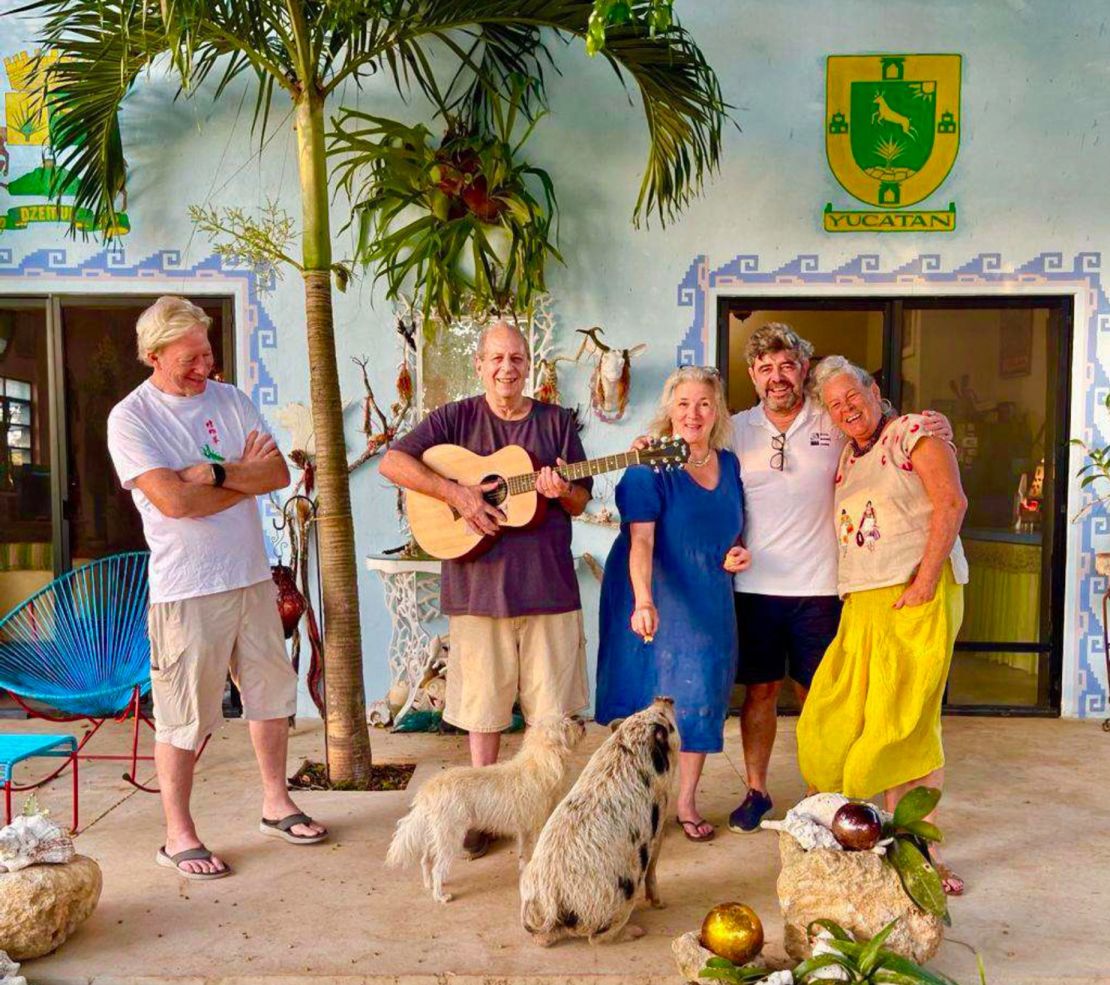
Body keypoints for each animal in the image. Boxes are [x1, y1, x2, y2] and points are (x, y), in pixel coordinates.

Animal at [386, 710, 586, 906]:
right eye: (565, 726)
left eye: (568, 718)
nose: (582, 722)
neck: (539, 762)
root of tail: (429, 790)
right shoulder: (537, 826)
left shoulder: (523, 828)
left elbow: (524, 854)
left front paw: (524, 869)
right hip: (450, 836)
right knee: (437, 867)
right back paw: (440, 896)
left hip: (435, 835)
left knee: (426, 860)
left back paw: (429, 885)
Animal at [517, 697, 674, 941]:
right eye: (664, 719)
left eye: (644, 710)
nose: (664, 698)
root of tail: (552, 898)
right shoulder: (660, 817)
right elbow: (653, 863)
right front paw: (661, 904)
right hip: (613, 902)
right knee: (598, 937)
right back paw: (636, 931)